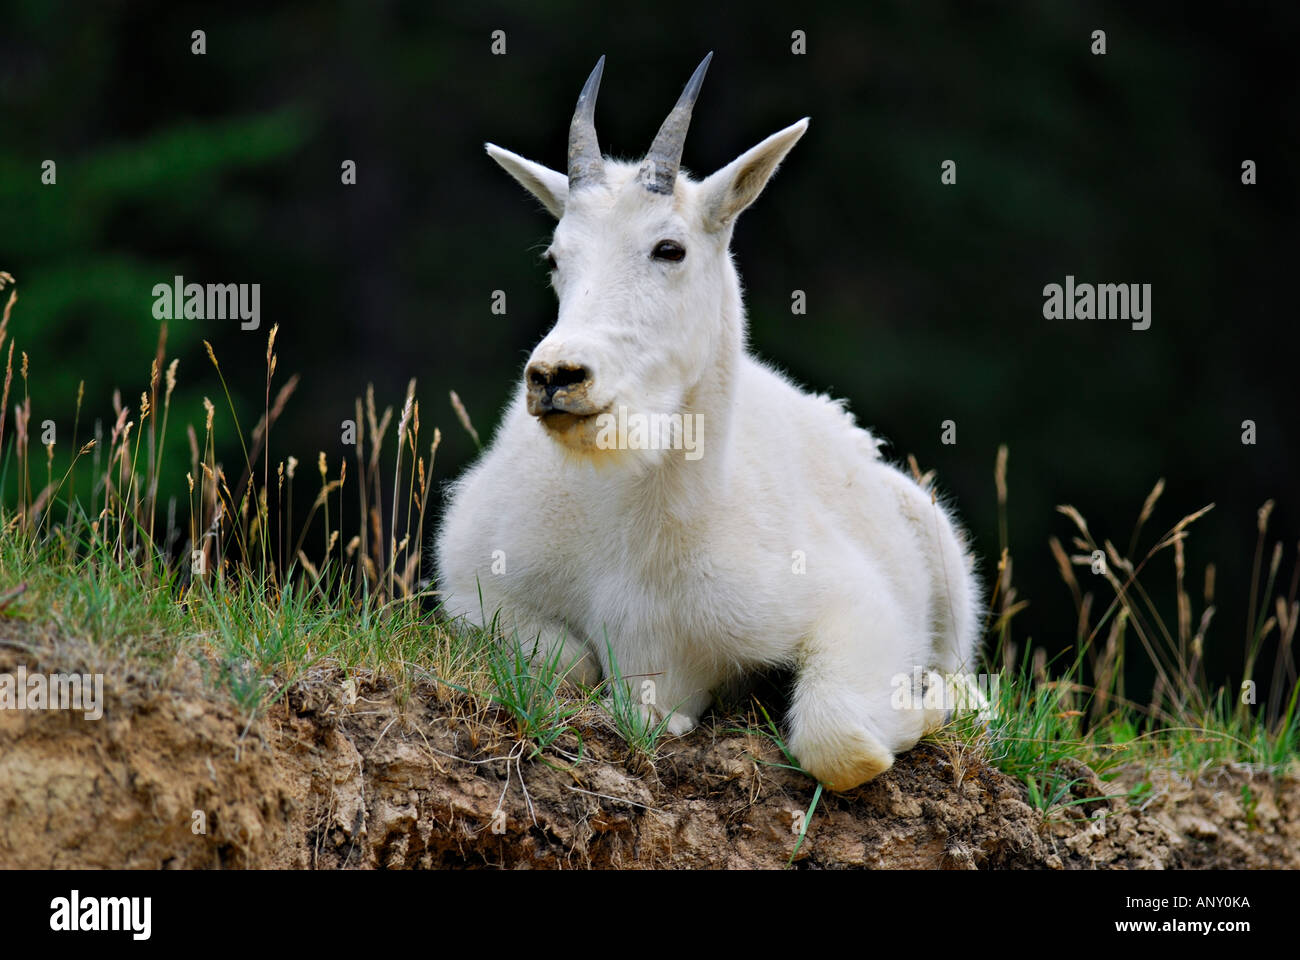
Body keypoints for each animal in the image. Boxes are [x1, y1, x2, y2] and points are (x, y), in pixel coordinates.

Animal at [436, 54, 982, 790]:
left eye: (670, 249)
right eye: (554, 257)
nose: (556, 378)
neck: (648, 537)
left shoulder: (856, 606)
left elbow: (840, 741)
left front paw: (922, 708)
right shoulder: (475, 582)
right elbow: (570, 666)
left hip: (943, 552)